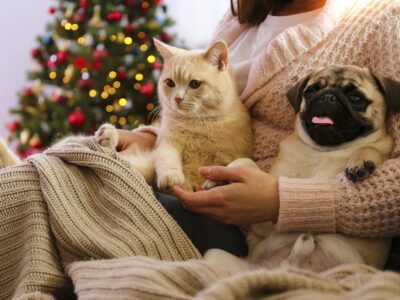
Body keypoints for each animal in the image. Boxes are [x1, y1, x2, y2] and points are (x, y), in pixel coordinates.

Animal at [205, 65, 400, 274]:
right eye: (310, 92)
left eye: (356, 99)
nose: (328, 96)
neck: (323, 151)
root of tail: (289, 267)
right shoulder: (262, 227)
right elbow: (245, 161)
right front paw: (218, 178)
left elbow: (371, 148)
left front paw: (361, 160)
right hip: (214, 255)